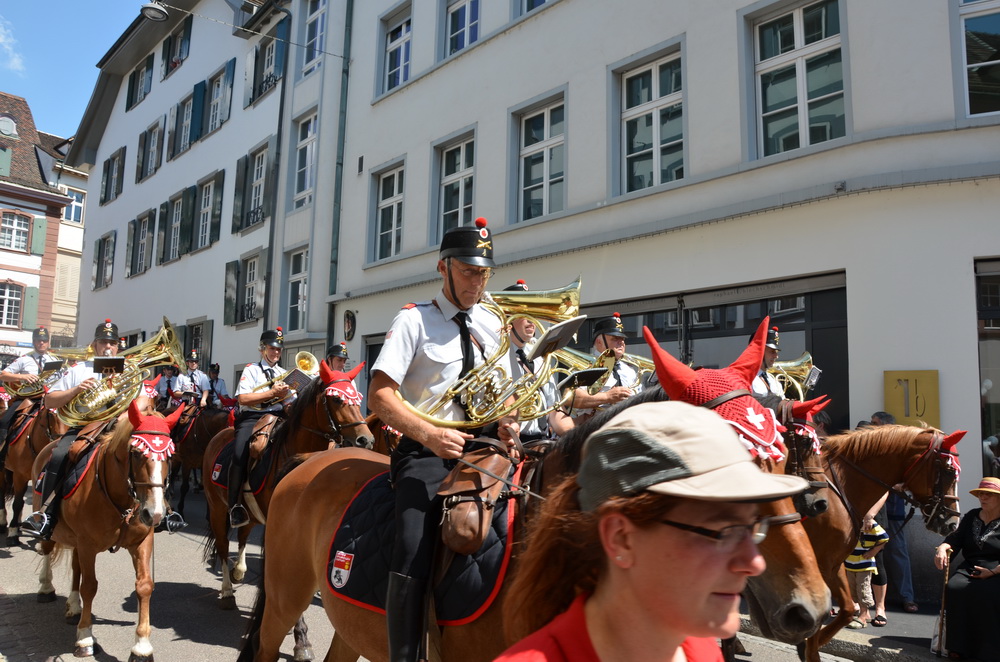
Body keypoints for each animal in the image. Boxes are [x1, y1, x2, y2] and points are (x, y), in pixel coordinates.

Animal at [29, 399, 184, 661]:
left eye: (169, 455)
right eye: (137, 453)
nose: (154, 514)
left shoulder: (142, 542)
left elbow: (144, 586)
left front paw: (142, 646)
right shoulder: (88, 544)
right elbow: (90, 586)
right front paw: (85, 637)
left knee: (76, 568)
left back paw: (74, 607)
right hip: (54, 528)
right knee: (48, 550)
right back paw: (46, 589)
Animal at [201, 362, 372, 614]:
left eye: (358, 399)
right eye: (336, 399)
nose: (365, 440)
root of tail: (218, 436)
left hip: (249, 512)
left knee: (242, 535)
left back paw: (239, 571)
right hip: (217, 509)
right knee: (223, 546)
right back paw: (227, 592)